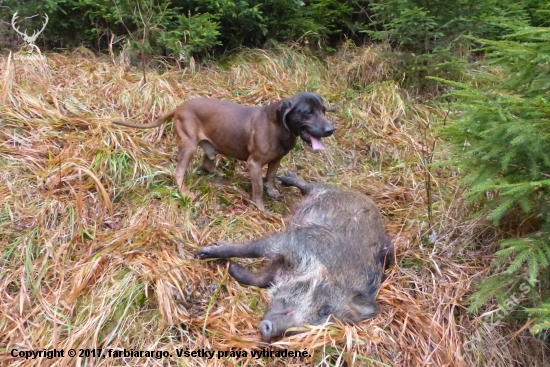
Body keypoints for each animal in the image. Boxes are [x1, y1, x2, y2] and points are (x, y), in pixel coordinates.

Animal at [114, 93, 334, 211]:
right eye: (308, 112)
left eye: (323, 110)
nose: (331, 130)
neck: (280, 127)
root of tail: (179, 107)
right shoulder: (254, 164)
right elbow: (258, 189)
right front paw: (261, 208)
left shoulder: (276, 159)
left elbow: (271, 177)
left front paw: (272, 192)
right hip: (189, 146)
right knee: (178, 173)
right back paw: (185, 192)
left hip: (211, 148)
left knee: (206, 164)